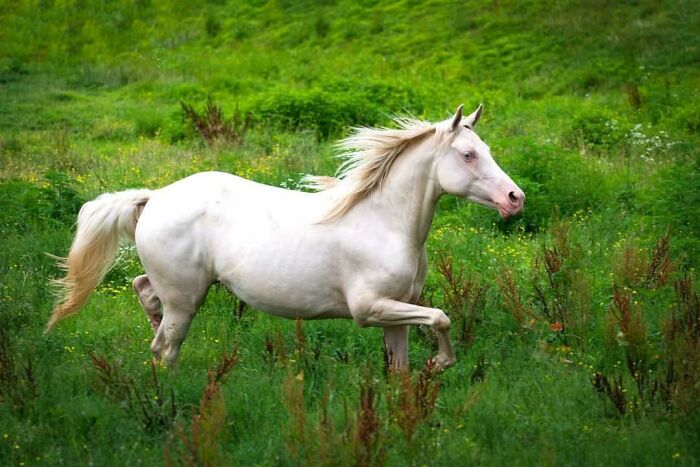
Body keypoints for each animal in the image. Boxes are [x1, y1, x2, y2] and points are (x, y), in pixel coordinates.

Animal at [46, 104, 524, 371]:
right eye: (468, 154)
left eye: (486, 150)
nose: (515, 198)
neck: (382, 222)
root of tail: (155, 196)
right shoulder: (370, 309)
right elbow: (442, 318)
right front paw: (441, 363)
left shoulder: (397, 313)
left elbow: (402, 368)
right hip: (186, 298)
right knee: (165, 345)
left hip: (176, 287)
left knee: (144, 291)